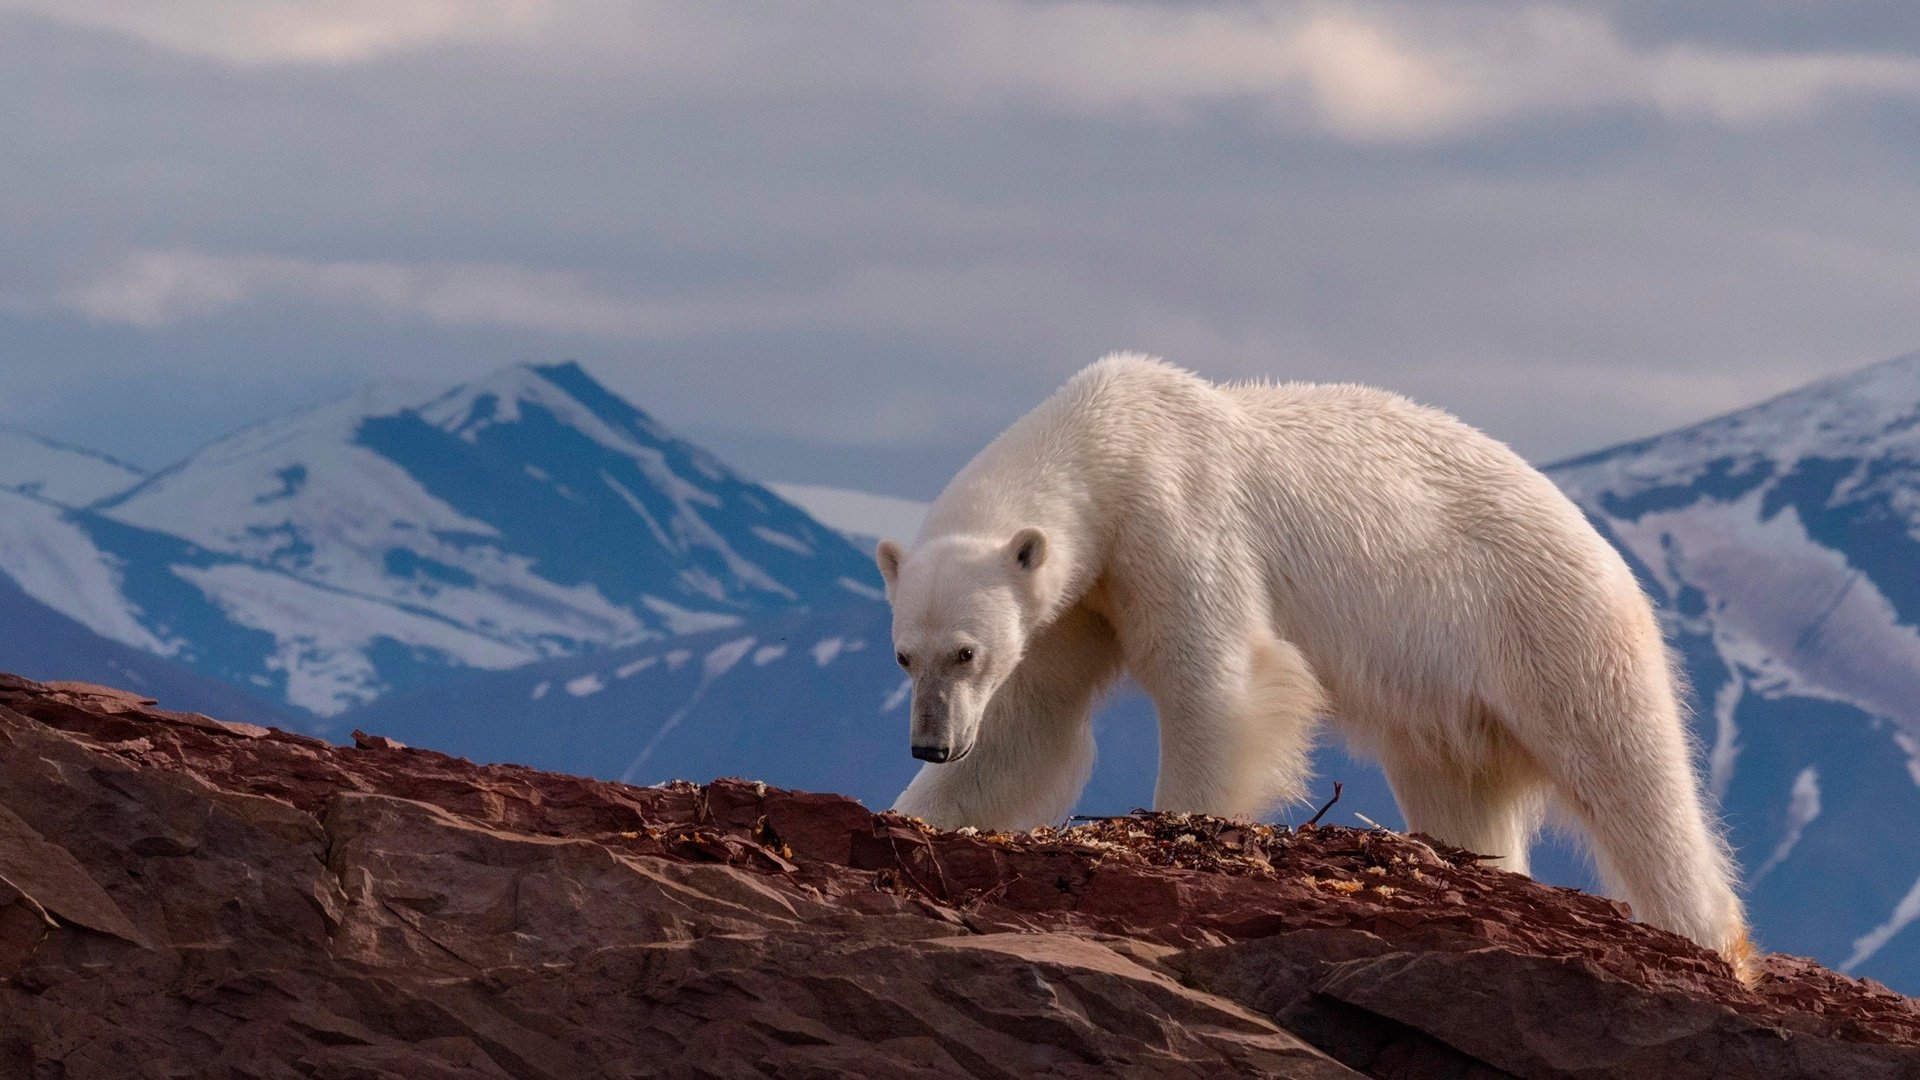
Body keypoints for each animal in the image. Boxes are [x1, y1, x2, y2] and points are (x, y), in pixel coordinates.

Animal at [879, 353, 1758, 968]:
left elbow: (1219, 684)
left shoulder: (1177, 519)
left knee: (1629, 777)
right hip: (1451, 702)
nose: (929, 742)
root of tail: (1605, 549)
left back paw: (1703, 934)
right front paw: (918, 814)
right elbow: (1027, 726)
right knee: (1459, 791)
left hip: (1552, 630)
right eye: (905, 657)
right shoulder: (1079, 599)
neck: (1112, 439)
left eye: (966, 652)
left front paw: (1179, 826)